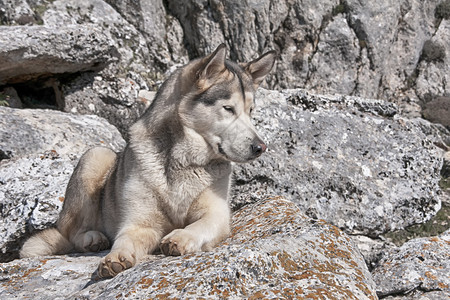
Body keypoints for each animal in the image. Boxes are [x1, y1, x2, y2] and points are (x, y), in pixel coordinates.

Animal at [21, 43, 276, 278]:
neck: (183, 161)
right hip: (96, 156)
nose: (260, 147)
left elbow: (201, 224)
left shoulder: (217, 213)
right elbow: (124, 239)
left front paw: (182, 236)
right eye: (228, 108)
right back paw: (92, 238)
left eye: (251, 111)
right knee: (71, 233)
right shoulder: (140, 223)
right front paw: (115, 257)